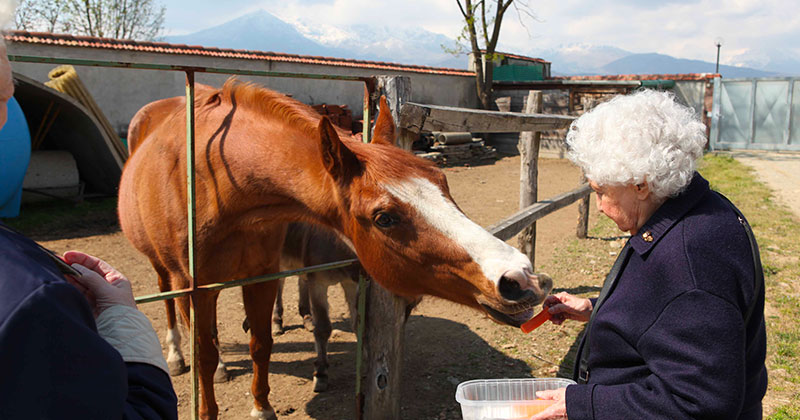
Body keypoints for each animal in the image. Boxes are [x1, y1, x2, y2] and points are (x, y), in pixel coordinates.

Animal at [118, 79, 553, 420]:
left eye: (442, 180)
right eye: (384, 218)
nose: (520, 278)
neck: (217, 181)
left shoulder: (262, 274)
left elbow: (262, 343)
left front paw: (263, 406)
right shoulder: (194, 284)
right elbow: (205, 359)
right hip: (168, 272)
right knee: (175, 312)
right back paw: (176, 355)